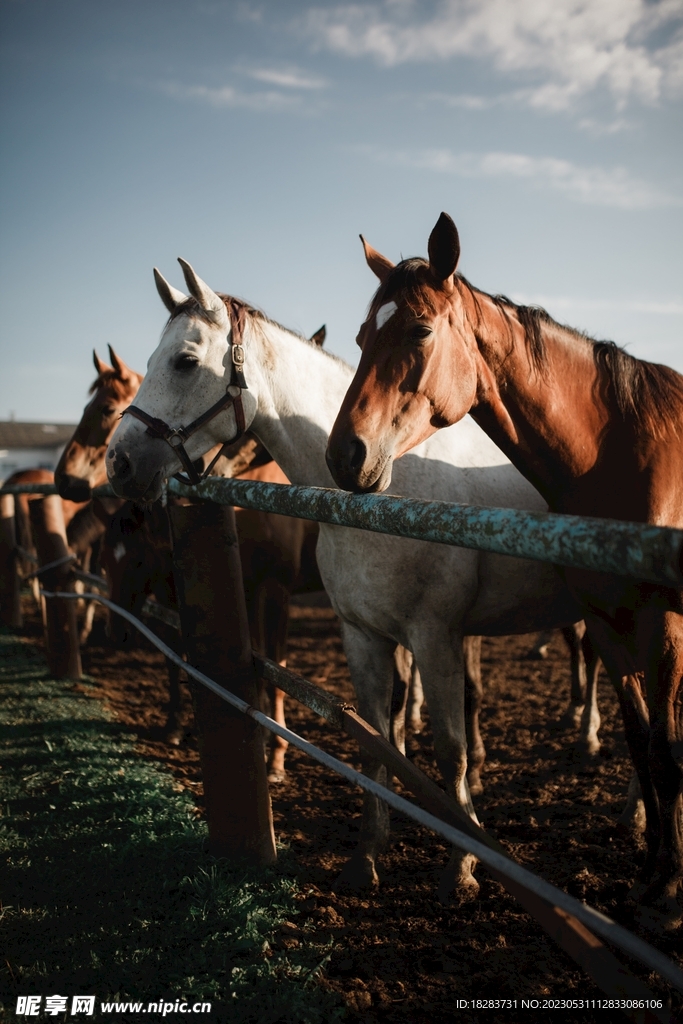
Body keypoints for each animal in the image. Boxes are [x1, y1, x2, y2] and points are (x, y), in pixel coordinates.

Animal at [105, 262, 589, 897]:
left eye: (185, 360)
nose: (118, 463)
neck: (379, 495)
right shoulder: (362, 635)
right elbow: (377, 742)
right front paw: (367, 857)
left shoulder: (435, 635)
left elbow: (451, 749)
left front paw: (461, 868)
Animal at [325, 211, 683, 933]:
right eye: (359, 336)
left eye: (420, 330)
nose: (343, 455)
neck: (620, 451)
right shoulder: (608, 625)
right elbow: (640, 742)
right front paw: (649, 870)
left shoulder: (663, 628)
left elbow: (664, 751)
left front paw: (667, 890)